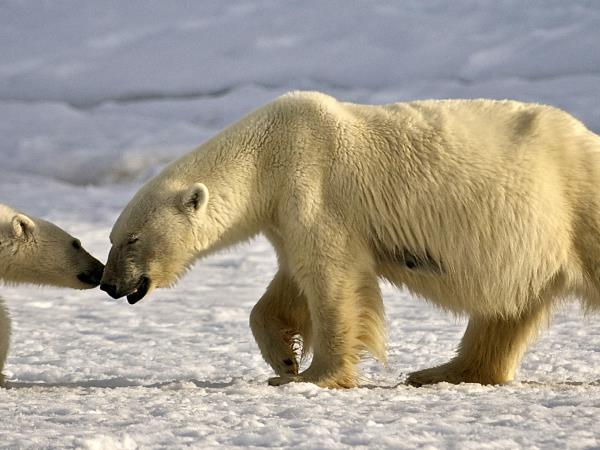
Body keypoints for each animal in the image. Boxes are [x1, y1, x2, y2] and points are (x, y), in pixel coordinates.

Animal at [101, 90, 600, 386]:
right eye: (113, 237)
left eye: (131, 239)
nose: (109, 283)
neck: (267, 155)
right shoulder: (283, 215)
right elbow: (288, 285)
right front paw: (283, 361)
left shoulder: (313, 186)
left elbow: (333, 281)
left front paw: (315, 376)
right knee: (507, 311)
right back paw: (443, 371)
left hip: (576, 204)